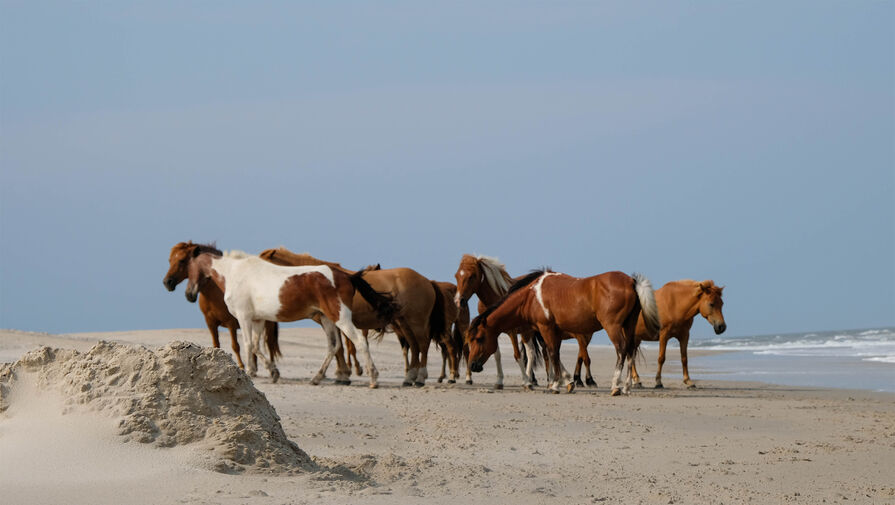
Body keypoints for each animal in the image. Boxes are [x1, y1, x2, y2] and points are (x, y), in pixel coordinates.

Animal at [164, 242, 280, 376]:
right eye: (169, 260)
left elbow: (235, 346)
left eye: (182, 261)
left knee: (269, 344)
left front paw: (241, 366)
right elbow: (216, 345)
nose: (167, 282)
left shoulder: (231, 323)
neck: (214, 294)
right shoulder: (211, 323)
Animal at [184, 248, 400, 386]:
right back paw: (316, 378)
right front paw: (273, 372)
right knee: (333, 346)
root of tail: (347, 276)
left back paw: (373, 378)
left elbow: (248, 345)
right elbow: (256, 346)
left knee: (359, 343)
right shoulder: (258, 320)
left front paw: (250, 373)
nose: (189, 295)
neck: (234, 274)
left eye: (189, 267)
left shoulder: (244, 318)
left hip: (340, 318)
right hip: (327, 319)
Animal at [258, 246, 446, 384]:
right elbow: (338, 347)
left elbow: (338, 348)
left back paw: (420, 378)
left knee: (423, 345)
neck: (309, 279)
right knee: (414, 347)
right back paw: (409, 378)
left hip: (417, 322)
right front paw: (342, 374)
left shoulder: (335, 320)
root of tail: (427, 281)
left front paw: (342, 375)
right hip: (404, 323)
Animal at [466, 268, 660, 394]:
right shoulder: (553, 332)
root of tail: (631, 281)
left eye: (480, 338)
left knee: (621, 350)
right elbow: (555, 355)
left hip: (612, 326)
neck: (532, 296)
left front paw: (554, 385)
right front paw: (565, 381)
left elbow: (552, 354)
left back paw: (615, 386)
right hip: (629, 326)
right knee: (630, 350)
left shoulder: (545, 328)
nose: (473, 365)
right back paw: (626, 386)